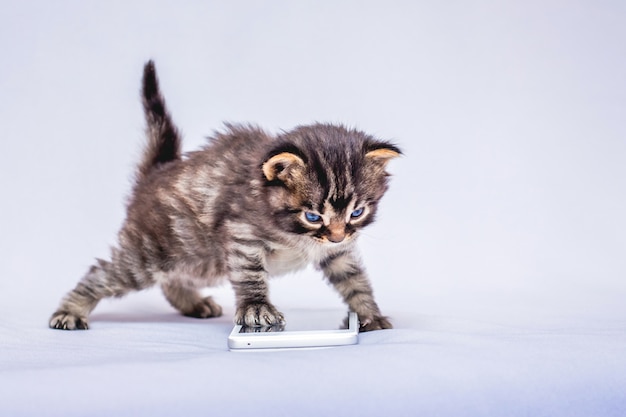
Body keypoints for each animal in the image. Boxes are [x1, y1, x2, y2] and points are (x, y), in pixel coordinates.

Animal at [48, 59, 400, 332]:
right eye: (313, 216)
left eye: (357, 212)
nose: (338, 235)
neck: (296, 235)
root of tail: (157, 171)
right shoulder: (242, 235)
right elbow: (251, 275)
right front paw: (257, 308)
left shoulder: (338, 252)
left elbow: (354, 280)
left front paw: (369, 315)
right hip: (154, 251)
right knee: (104, 273)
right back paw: (70, 311)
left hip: (197, 259)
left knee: (172, 279)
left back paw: (192, 303)